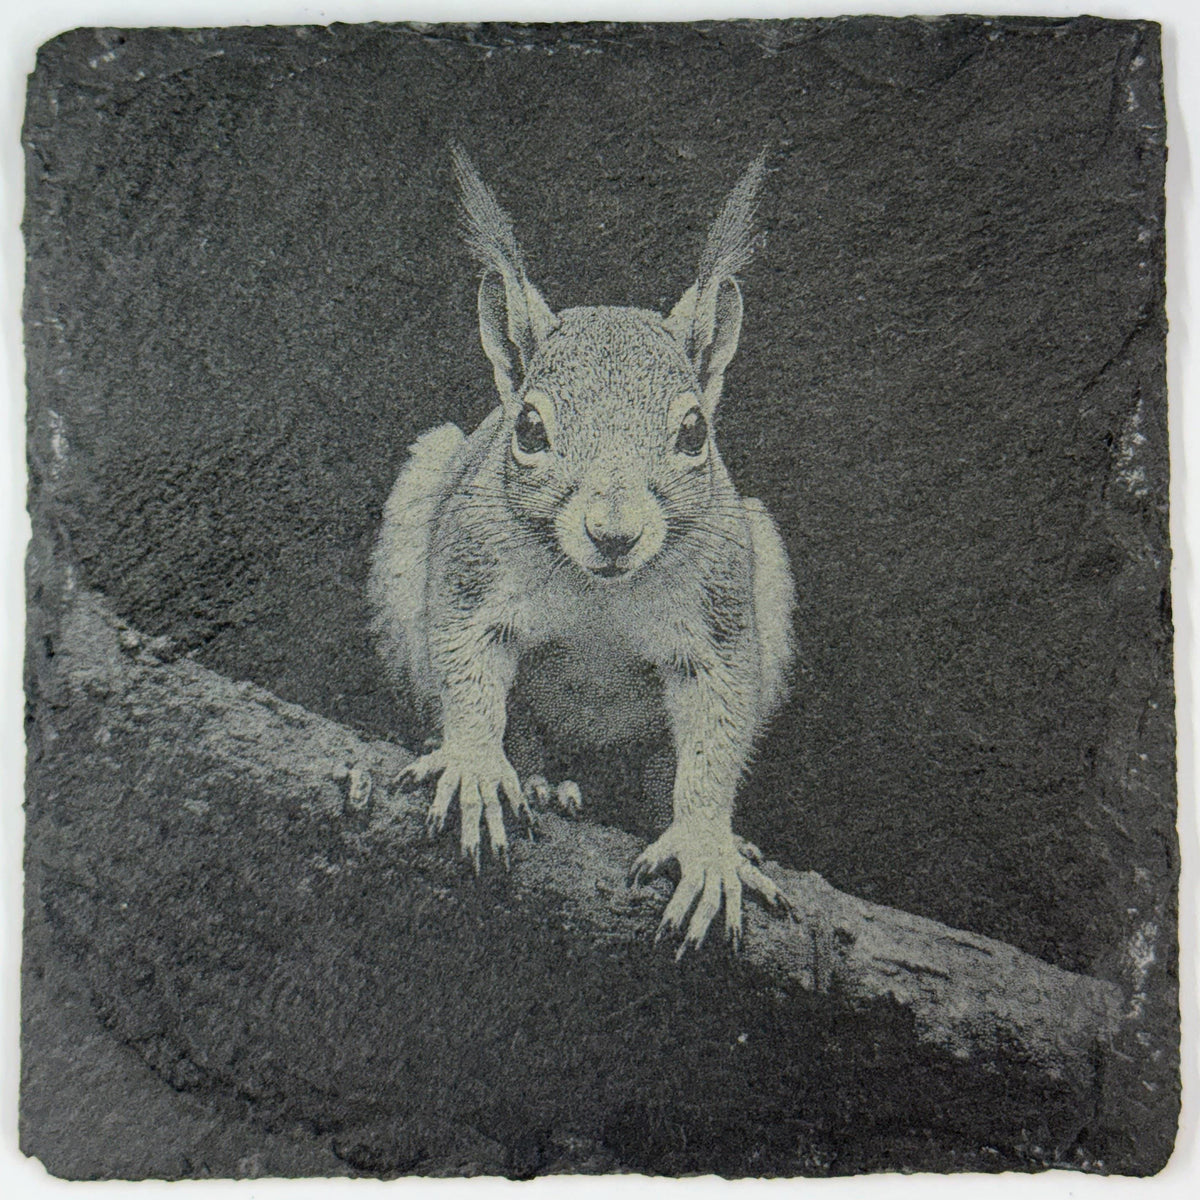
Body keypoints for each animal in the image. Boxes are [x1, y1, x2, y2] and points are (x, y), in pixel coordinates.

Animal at [368, 146, 797, 955]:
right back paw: (541, 780)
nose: (614, 533)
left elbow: (715, 729)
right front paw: (475, 763)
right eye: (530, 429)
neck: (602, 591)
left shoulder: (722, 615)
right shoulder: (472, 573)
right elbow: (468, 673)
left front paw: (705, 843)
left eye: (695, 432)